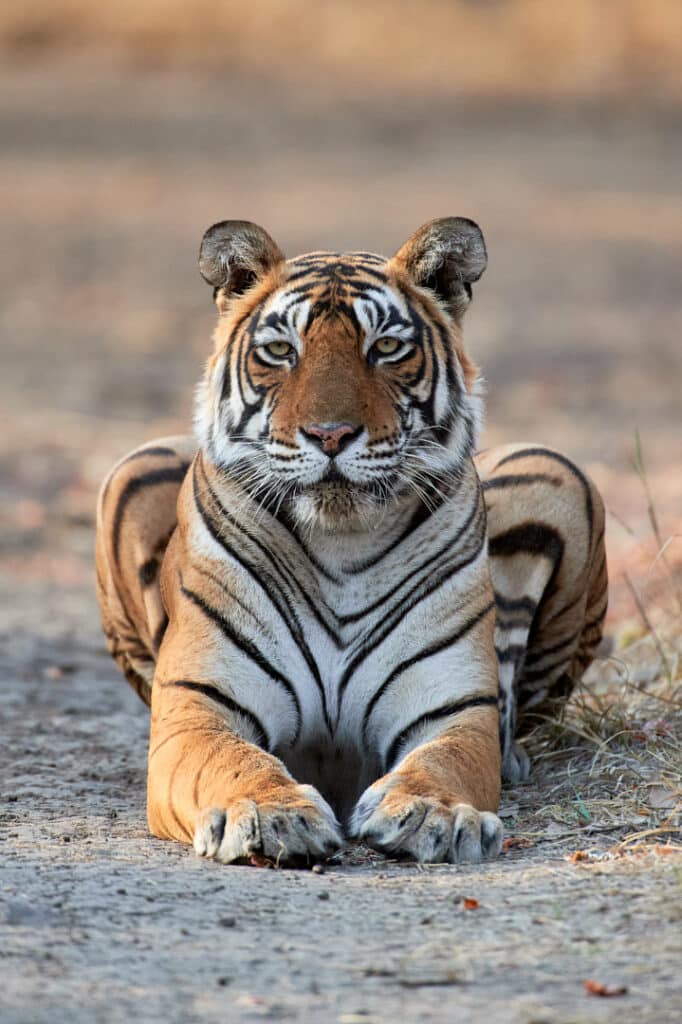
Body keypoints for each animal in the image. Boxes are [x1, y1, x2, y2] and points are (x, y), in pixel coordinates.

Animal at [96, 217, 607, 866]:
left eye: (385, 348)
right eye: (281, 351)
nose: (331, 434)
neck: (340, 543)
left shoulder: (453, 710)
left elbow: (444, 763)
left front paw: (435, 814)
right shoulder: (198, 707)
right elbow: (232, 761)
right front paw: (268, 813)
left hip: (556, 470)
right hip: (133, 467)